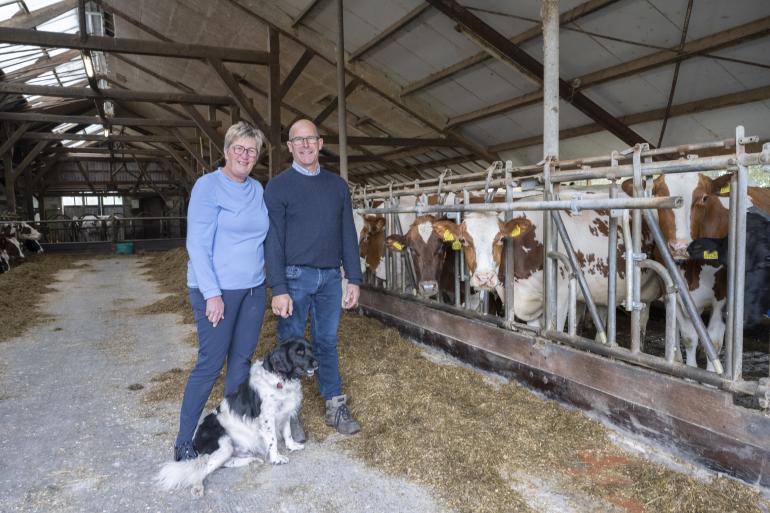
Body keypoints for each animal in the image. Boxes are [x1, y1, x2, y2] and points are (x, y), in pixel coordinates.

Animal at [155, 338, 316, 494]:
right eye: (299, 352)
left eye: (310, 348)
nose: (316, 362)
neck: (280, 379)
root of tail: (195, 441)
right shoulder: (267, 418)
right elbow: (273, 440)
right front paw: (276, 458)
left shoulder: (285, 412)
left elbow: (288, 432)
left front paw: (292, 446)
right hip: (224, 445)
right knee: (201, 469)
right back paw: (198, 486)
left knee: (226, 463)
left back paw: (252, 460)